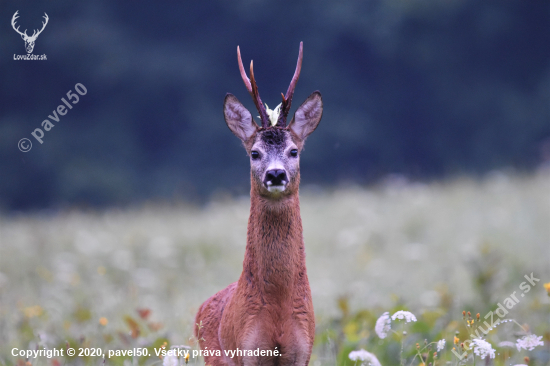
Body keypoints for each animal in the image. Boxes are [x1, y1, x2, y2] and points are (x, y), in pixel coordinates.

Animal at [196, 41, 324, 364]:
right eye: (255, 153)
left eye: (293, 151)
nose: (276, 174)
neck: (278, 305)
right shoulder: (249, 349)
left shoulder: (303, 350)